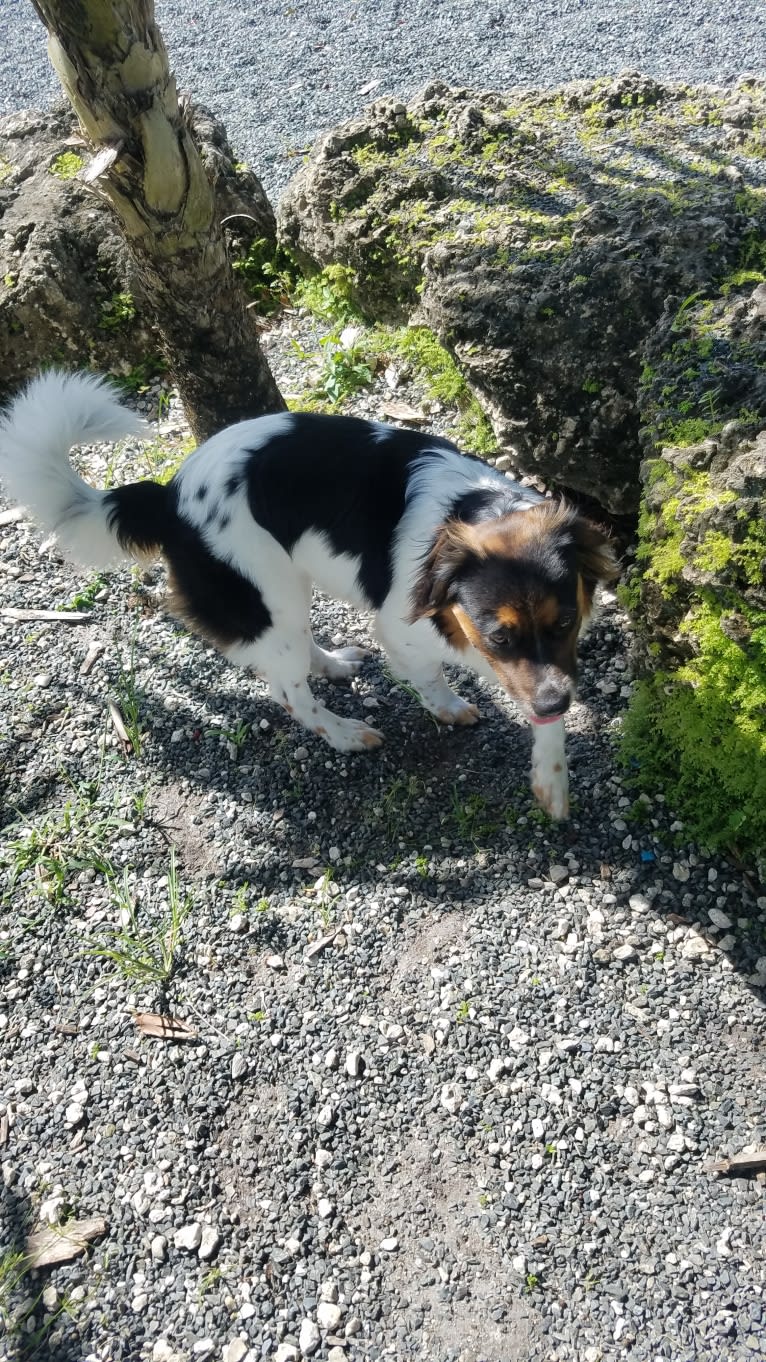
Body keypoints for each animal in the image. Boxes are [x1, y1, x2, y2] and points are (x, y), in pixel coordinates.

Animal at [0, 370, 621, 817]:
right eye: (499, 634)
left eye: (567, 622)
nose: (555, 703)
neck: (478, 510)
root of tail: (169, 494)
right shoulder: (405, 629)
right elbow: (433, 677)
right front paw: (448, 709)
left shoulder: (546, 665)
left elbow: (540, 700)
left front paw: (551, 779)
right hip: (269, 594)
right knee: (287, 690)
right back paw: (343, 732)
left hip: (287, 589)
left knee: (295, 655)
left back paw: (332, 665)